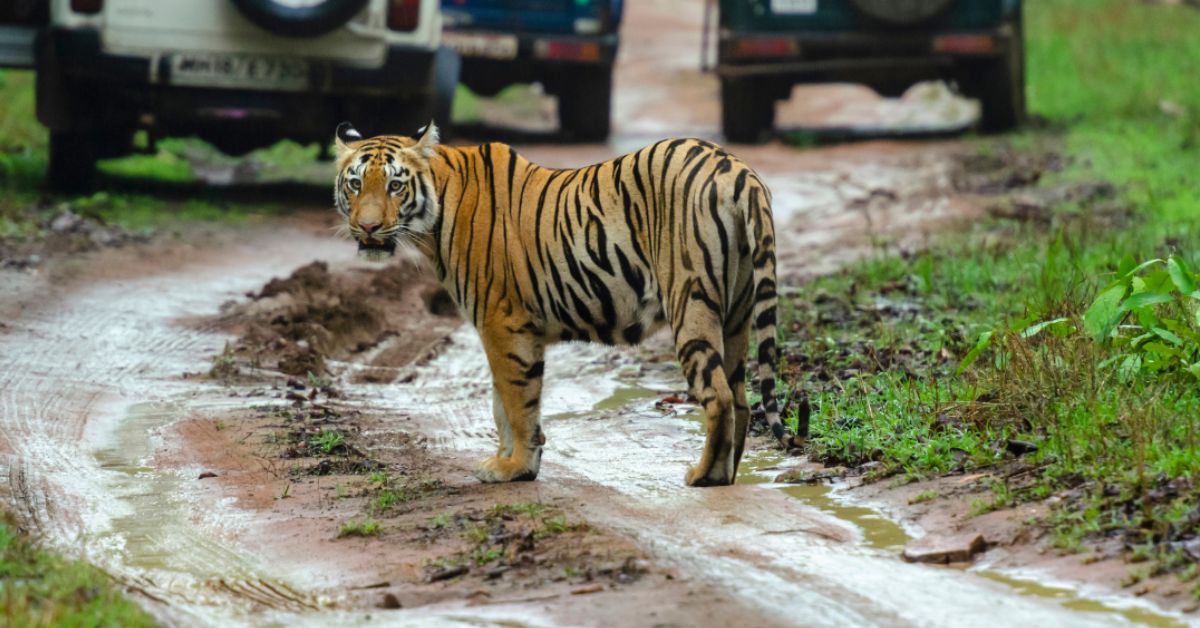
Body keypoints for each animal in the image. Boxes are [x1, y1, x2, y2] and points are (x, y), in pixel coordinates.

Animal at [332, 121, 797, 486]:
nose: (368, 228)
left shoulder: (503, 323)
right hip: (736, 312)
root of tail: (736, 169)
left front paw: (515, 467)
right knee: (740, 397)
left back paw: (705, 476)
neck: (435, 217)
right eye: (355, 183)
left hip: (691, 301)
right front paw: (509, 462)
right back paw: (729, 472)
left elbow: (516, 401)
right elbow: (503, 403)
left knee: (718, 394)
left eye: (395, 185)